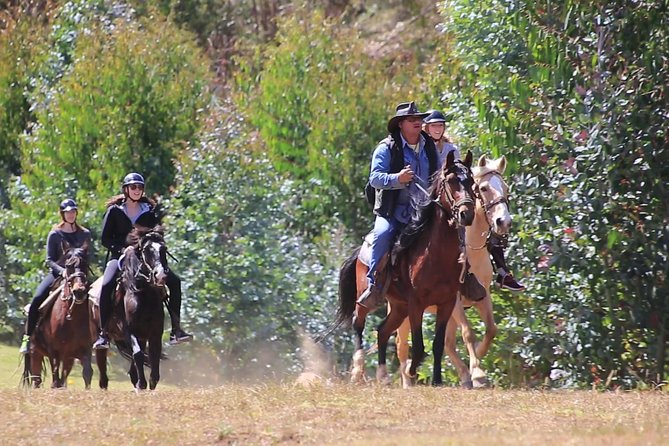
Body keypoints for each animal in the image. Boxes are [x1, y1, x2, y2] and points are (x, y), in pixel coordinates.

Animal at [334, 151, 474, 386]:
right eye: (452, 181)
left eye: (471, 182)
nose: (467, 214)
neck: (436, 255)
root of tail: (360, 250)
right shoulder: (417, 303)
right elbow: (418, 346)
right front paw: (410, 372)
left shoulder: (446, 303)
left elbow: (437, 344)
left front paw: (436, 380)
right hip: (366, 299)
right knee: (358, 324)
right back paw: (358, 370)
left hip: (399, 306)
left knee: (382, 331)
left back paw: (383, 376)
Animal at [396, 156, 512, 386]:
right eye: (483, 188)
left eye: (505, 187)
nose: (504, 222)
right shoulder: (455, 300)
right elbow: (468, 333)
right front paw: (478, 372)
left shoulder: (481, 294)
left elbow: (491, 329)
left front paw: (478, 357)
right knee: (401, 345)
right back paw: (408, 379)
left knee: (448, 343)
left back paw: (464, 376)